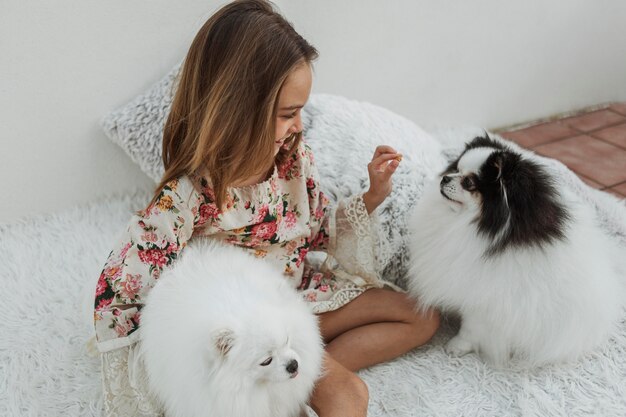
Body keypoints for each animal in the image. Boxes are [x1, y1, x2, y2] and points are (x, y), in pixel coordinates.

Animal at [408, 135, 620, 366]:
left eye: (469, 183)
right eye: (456, 169)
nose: (445, 178)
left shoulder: (485, 300)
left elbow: (471, 328)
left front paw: (457, 346)